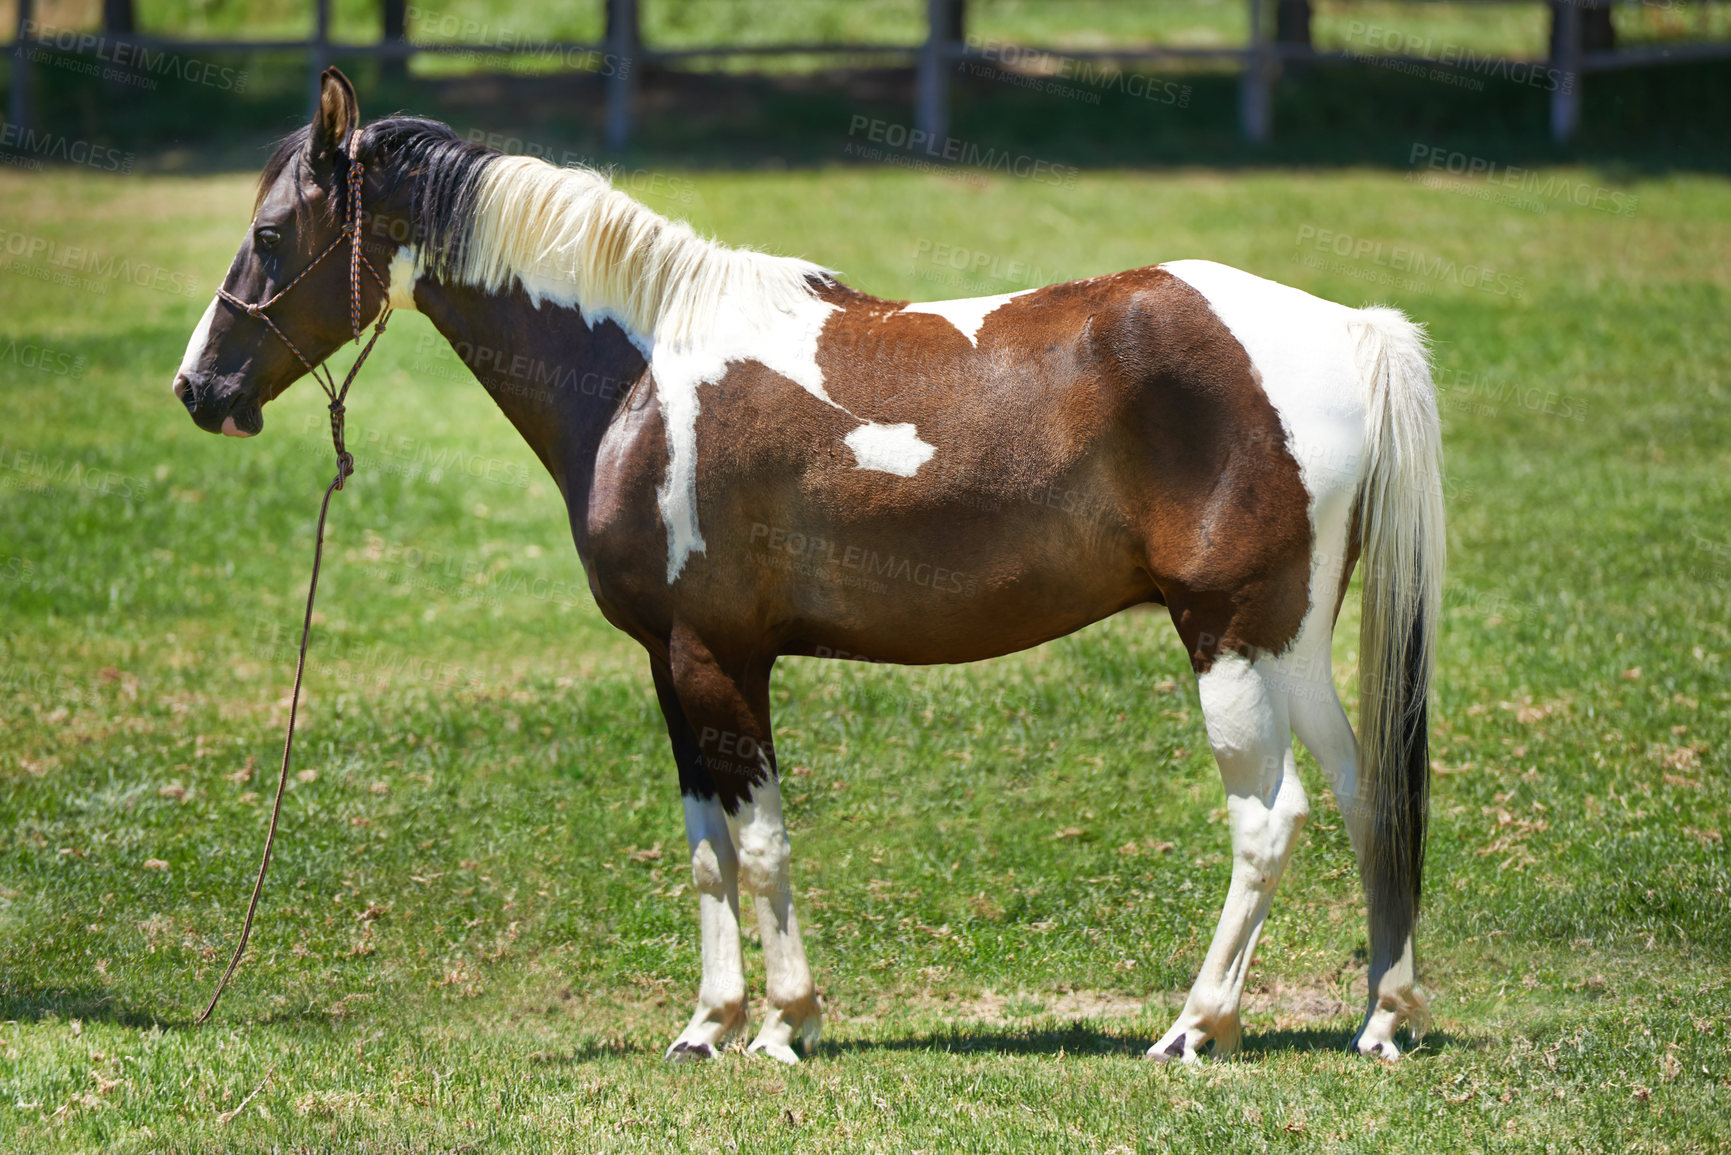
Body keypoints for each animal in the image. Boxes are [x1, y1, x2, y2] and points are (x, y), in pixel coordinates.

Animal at [175, 70, 1447, 1066]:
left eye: (274, 237)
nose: (200, 387)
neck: (644, 379)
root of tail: (1348, 329)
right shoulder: (672, 662)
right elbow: (704, 850)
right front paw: (708, 1023)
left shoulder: (719, 655)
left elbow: (760, 839)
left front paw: (784, 1022)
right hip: (1292, 640)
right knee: (1364, 791)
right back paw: (1382, 1016)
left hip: (1227, 637)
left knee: (1268, 819)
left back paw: (1196, 1025)